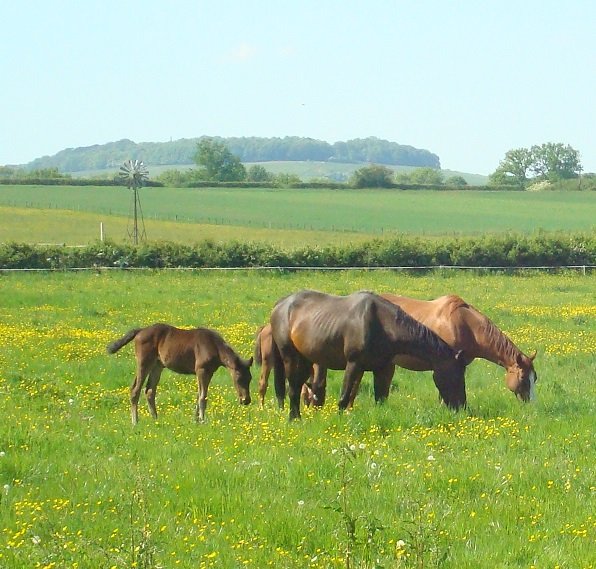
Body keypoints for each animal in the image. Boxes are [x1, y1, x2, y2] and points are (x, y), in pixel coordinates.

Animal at [106, 323, 253, 424]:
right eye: (239, 378)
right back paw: (135, 422)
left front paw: (196, 420)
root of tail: (140, 331)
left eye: (250, 378)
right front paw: (202, 420)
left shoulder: (209, 372)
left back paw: (155, 419)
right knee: (135, 390)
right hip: (144, 362)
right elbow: (203, 397)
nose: (246, 400)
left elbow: (199, 395)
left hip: (157, 365)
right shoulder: (201, 370)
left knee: (149, 391)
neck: (215, 347)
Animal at [269, 290, 466, 420]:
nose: (461, 407)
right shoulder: (353, 364)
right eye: (454, 376)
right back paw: (294, 419)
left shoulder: (381, 369)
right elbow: (344, 398)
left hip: (305, 360)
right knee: (292, 388)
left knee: (297, 387)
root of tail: (280, 305)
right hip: (290, 357)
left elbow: (380, 398)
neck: (381, 324)